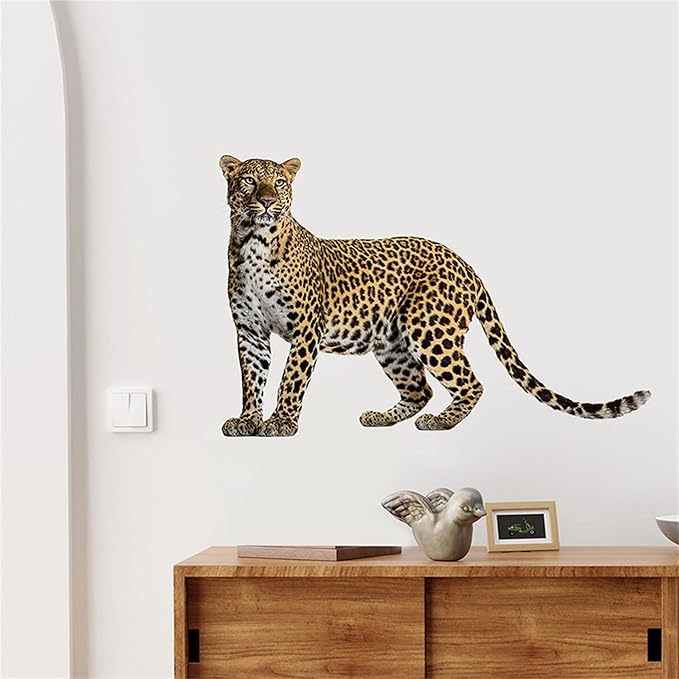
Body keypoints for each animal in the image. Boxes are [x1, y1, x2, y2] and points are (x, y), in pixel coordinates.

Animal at [219, 155, 650, 437]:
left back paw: (441, 422)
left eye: (279, 183)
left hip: (430, 328)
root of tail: (466, 263)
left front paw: (281, 423)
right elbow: (252, 378)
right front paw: (248, 420)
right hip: (393, 342)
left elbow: (291, 377)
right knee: (420, 388)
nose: (266, 201)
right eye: (249, 180)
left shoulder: (307, 327)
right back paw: (381, 417)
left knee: (471, 384)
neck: (253, 241)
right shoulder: (250, 331)